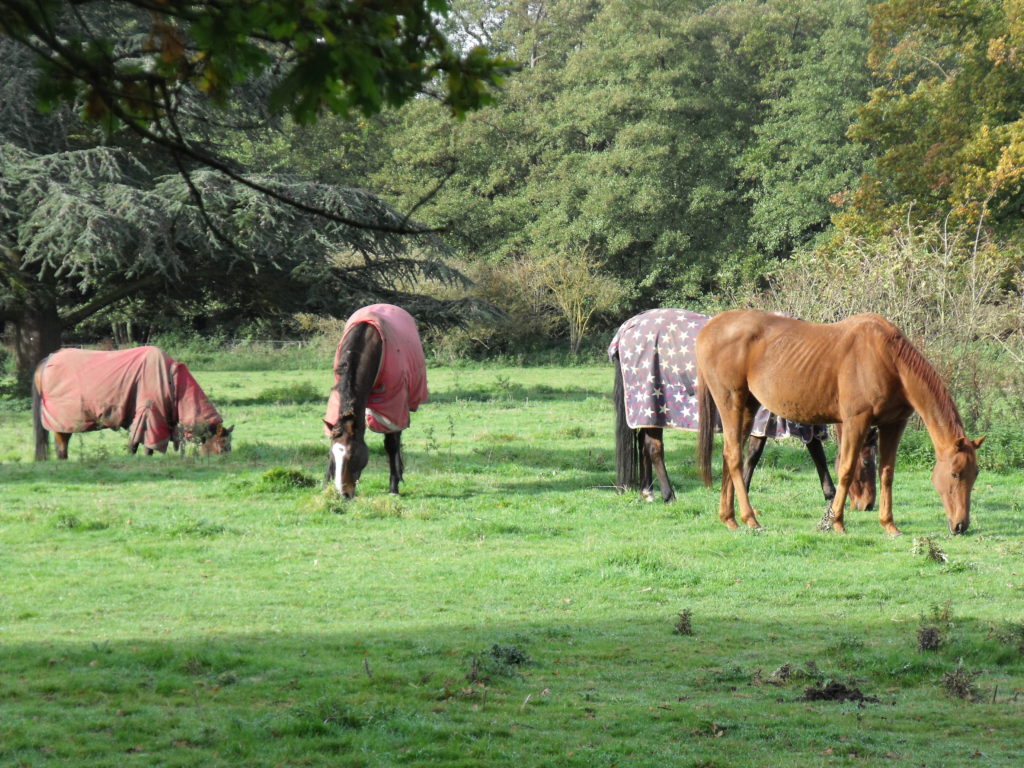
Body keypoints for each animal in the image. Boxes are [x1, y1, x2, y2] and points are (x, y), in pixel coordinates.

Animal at [33, 348, 232, 460]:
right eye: (223, 445)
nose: (226, 459)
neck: (172, 381)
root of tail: (47, 360)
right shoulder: (148, 416)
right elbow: (139, 446)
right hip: (63, 424)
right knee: (61, 449)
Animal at [323, 303, 428, 501]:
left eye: (352, 455)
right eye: (333, 455)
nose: (344, 494)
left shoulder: (393, 404)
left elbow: (391, 444)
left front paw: (394, 487)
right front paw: (326, 484)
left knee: (396, 438)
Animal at [606, 307, 880, 512]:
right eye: (867, 462)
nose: (868, 505)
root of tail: (629, 326)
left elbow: (815, 452)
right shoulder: (767, 419)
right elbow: (755, 455)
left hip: (646, 412)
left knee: (644, 446)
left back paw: (648, 492)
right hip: (652, 404)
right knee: (654, 449)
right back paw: (668, 494)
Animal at [696, 311, 983, 536]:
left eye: (975, 474)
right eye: (955, 474)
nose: (961, 526)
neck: (888, 358)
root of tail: (708, 329)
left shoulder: (894, 424)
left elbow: (887, 474)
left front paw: (889, 525)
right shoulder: (856, 421)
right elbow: (845, 469)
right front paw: (836, 523)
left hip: (748, 407)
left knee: (729, 455)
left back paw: (729, 518)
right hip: (731, 402)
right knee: (734, 456)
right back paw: (750, 519)